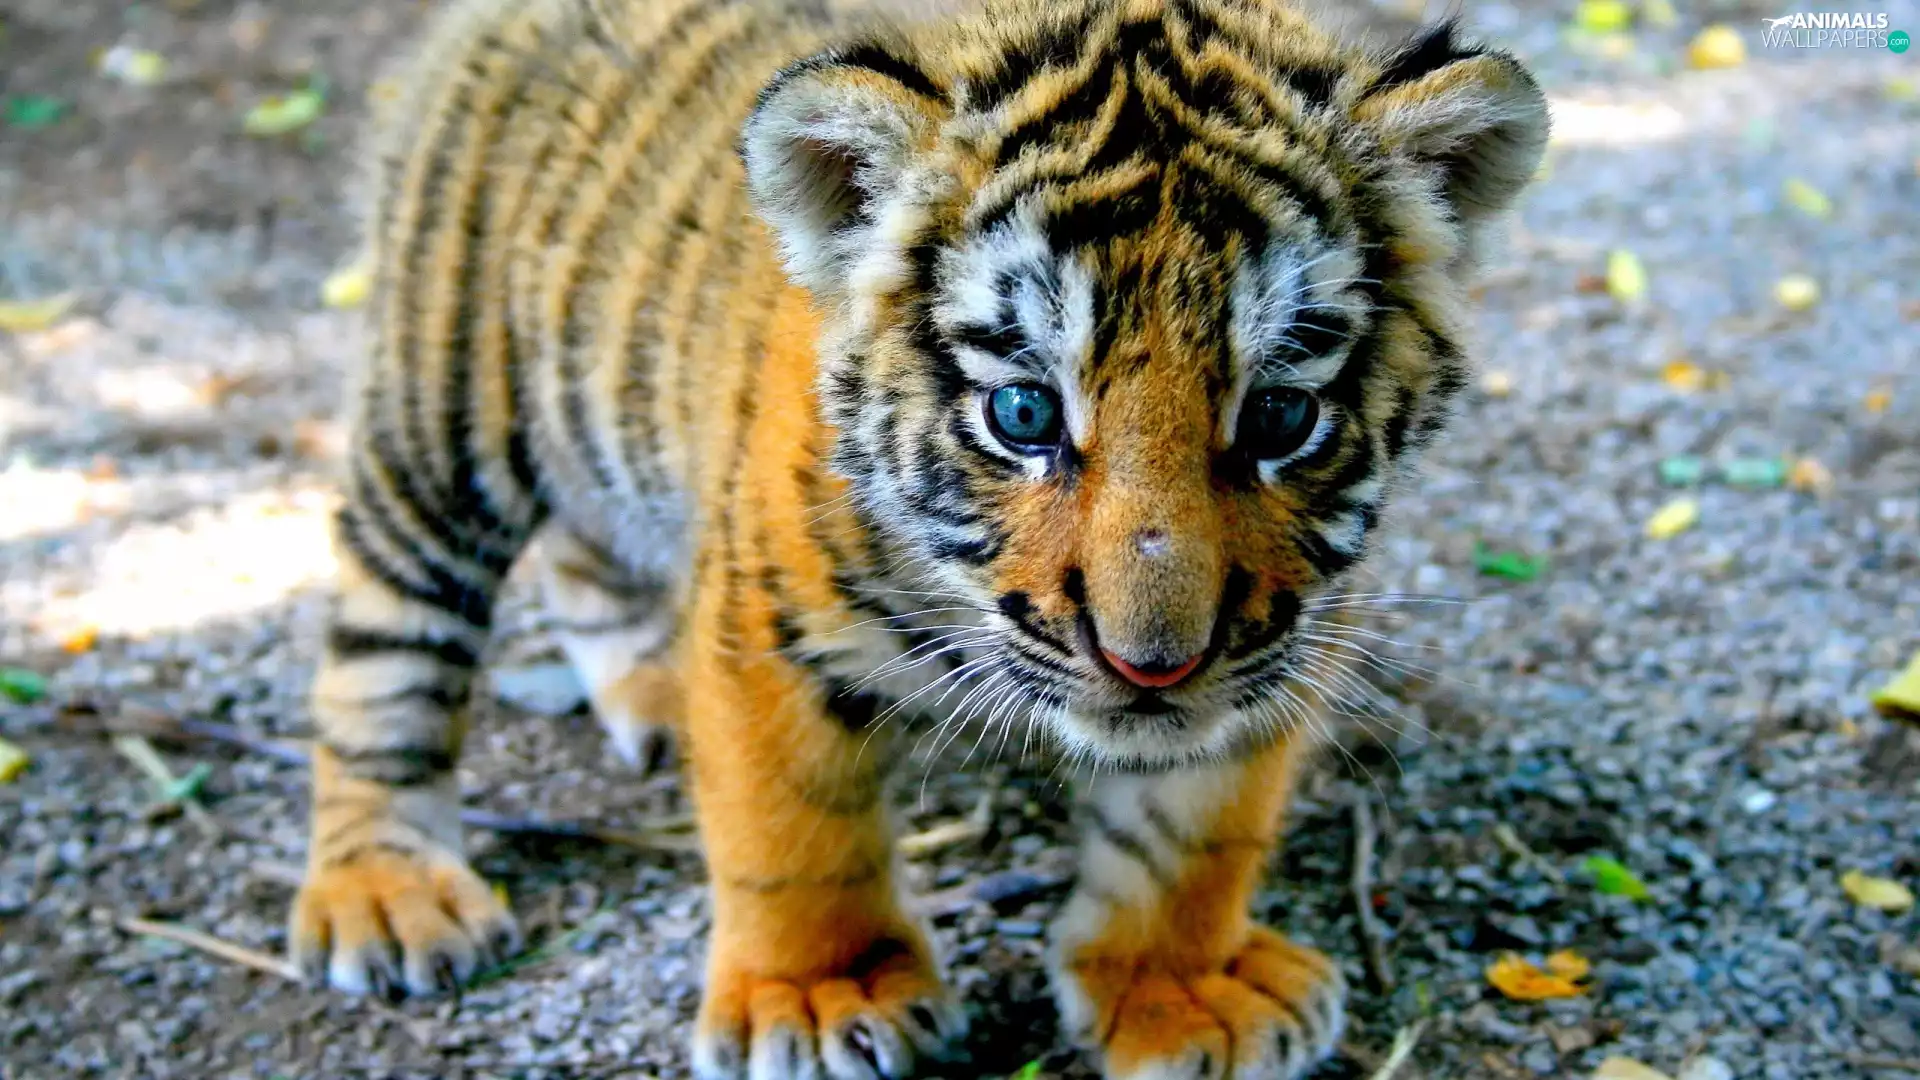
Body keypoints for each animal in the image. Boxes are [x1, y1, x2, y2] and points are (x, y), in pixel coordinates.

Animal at [288, 0, 1548, 1076]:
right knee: (383, 647)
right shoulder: (769, 620)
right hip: (443, 418)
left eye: (1282, 418)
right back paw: (385, 889)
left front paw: (1179, 986)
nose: (1152, 664)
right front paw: (820, 995)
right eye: (1024, 414)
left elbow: (1194, 831)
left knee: (584, 559)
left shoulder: (1278, 641)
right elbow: (793, 825)